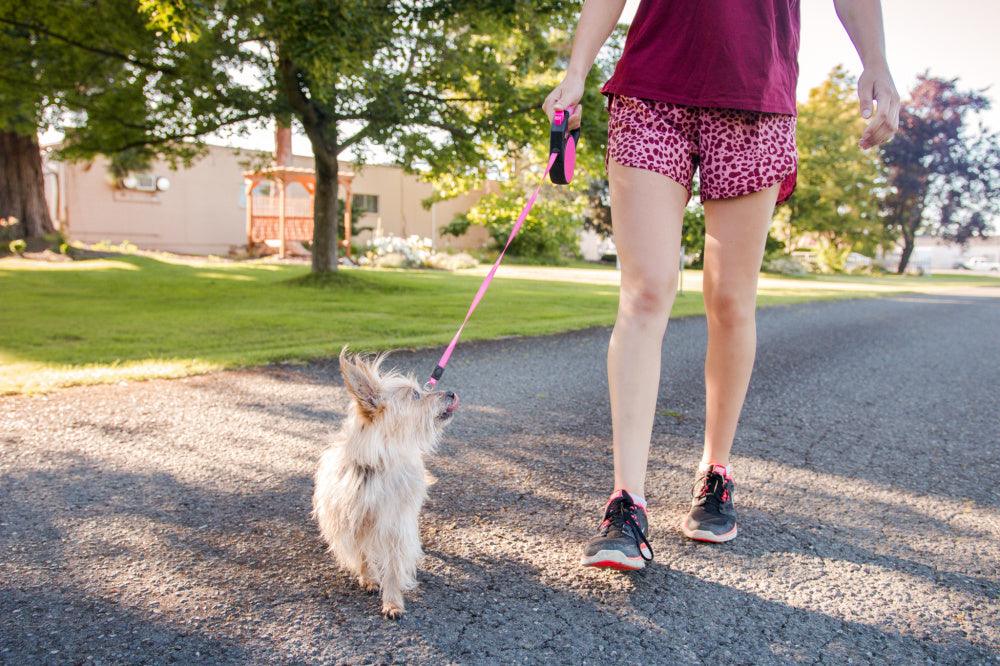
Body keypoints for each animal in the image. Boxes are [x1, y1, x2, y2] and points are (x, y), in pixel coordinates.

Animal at [312, 350, 458, 616]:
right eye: (415, 395)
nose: (451, 392)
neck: (379, 464)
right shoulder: (353, 520)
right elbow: (361, 553)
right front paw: (368, 577)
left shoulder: (395, 524)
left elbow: (393, 565)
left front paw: (392, 600)